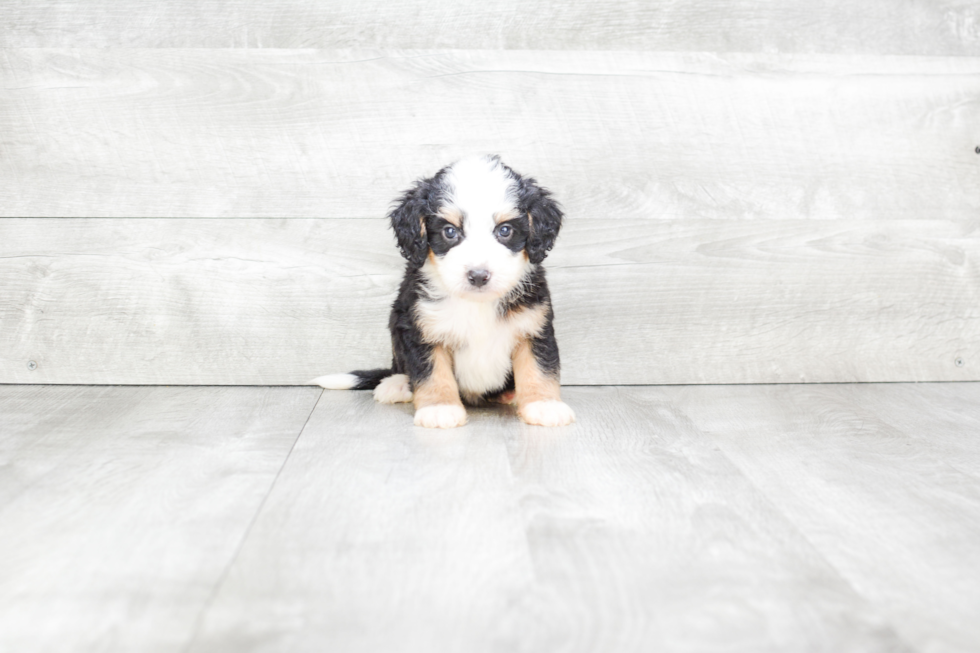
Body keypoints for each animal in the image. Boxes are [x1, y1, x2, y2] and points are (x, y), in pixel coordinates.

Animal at [314, 153, 576, 428]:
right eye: (450, 232)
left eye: (505, 230)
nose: (478, 276)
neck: (476, 305)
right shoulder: (420, 328)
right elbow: (431, 373)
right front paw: (439, 408)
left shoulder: (533, 327)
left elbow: (539, 367)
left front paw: (544, 405)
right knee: (399, 367)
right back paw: (396, 384)